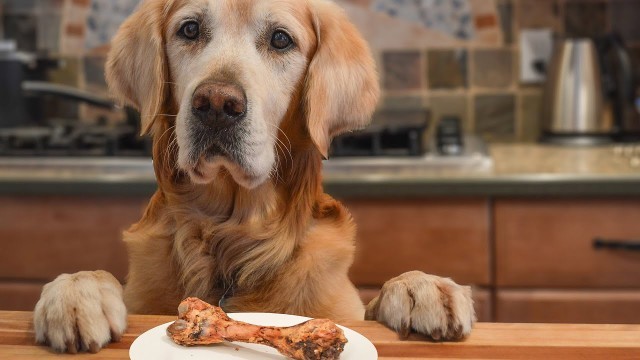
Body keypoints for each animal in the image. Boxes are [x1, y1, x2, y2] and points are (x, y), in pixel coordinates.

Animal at [33, 0, 476, 354]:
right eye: (189, 29)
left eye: (281, 40)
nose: (216, 104)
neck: (232, 238)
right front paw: (76, 291)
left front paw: (421, 287)